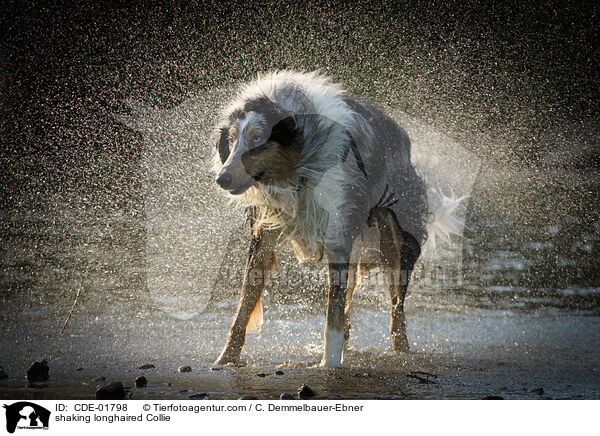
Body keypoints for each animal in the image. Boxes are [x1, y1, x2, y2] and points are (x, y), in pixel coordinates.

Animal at [213, 71, 438, 368]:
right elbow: (245, 301)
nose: (222, 178)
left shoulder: (338, 235)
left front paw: (329, 364)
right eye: (232, 139)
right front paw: (225, 359)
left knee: (396, 311)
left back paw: (402, 351)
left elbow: (333, 314)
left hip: (394, 238)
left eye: (258, 138)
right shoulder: (264, 232)